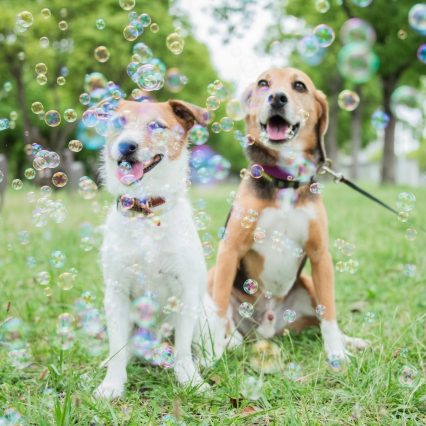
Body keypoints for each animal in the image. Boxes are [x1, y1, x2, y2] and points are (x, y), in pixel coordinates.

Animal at [95, 98, 211, 398]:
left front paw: (190, 380)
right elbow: (117, 348)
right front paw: (112, 385)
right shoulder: (116, 292)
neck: (145, 210)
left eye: (156, 125)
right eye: (119, 122)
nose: (127, 145)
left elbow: (183, 350)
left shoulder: (186, 291)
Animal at [201, 67, 368, 366]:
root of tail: (267, 328)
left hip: (309, 282)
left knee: (323, 318)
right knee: (226, 322)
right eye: (263, 83)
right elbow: (219, 310)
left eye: (299, 86)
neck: (285, 180)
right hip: (214, 274)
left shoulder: (320, 255)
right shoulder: (229, 249)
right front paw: (212, 355)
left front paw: (336, 354)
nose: (276, 98)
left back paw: (351, 341)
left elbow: (329, 314)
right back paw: (229, 342)